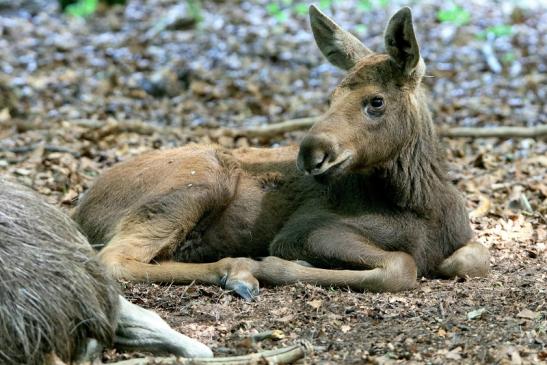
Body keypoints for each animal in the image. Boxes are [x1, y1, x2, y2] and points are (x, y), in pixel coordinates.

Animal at [71, 7, 488, 300]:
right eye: (332, 96)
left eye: (376, 101)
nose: (310, 152)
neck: (419, 202)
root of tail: (80, 211)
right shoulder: (305, 230)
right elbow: (403, 264)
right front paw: (277, 266)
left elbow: (474, 257)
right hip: (201, 177)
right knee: (113, 258)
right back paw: (239, 271)